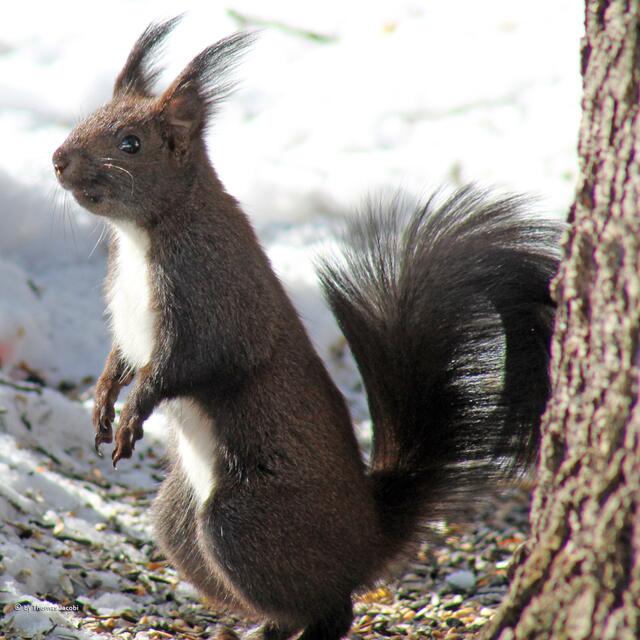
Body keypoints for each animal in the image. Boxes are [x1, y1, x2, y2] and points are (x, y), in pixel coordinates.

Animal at [52, 17, 561, 640]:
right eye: (90, 116)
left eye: (131, 144)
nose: (57, 159)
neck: (143, 234)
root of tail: (367, 538)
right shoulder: (128, 322)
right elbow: (120, 359)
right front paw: (103, 401)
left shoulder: (213, 300)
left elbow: (184, 365)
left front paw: (131, 414)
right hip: (181, 521)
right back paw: (257, 629)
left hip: (243, 522)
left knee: (332, 607)